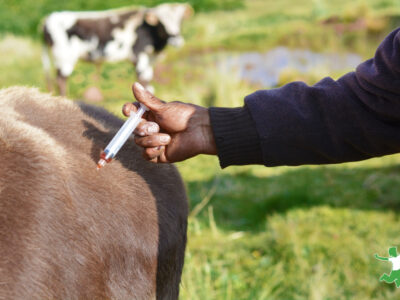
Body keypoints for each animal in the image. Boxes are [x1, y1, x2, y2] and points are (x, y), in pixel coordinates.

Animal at [42, 3, 192, 95]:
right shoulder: (139, 56)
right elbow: (142, 81)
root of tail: (48, 19)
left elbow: (149, 83)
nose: (176, 40)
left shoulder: (149, 59)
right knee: (61, 80)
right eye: (162, 23)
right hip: (64, 57)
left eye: (180, 21)